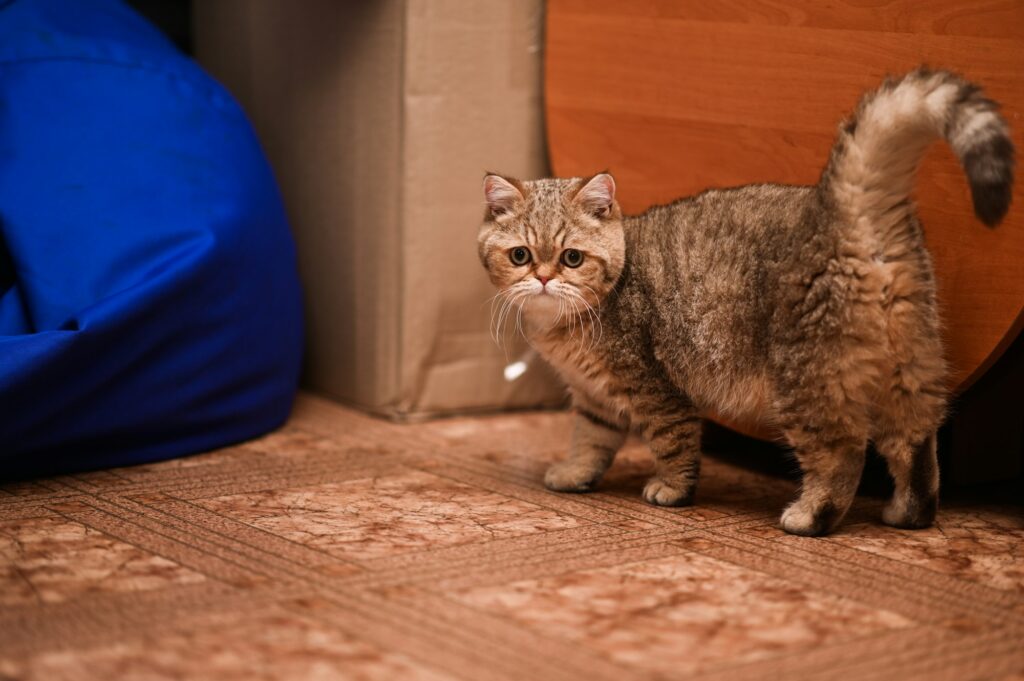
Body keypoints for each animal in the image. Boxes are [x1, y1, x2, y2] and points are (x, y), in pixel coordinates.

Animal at [479, 70, 1015, 536]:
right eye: (521, 255)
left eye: (571, 258)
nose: (544, 278)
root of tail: (842, 209)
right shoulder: (594, 398)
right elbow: (591, 442)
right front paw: (574, 474)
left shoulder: (656, 389)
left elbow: (673, 445)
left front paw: (671, 490)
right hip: (908, 368)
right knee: (917, 444)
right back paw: (909, 512)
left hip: (807, 384)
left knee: (843, 454)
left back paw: (810, 516)